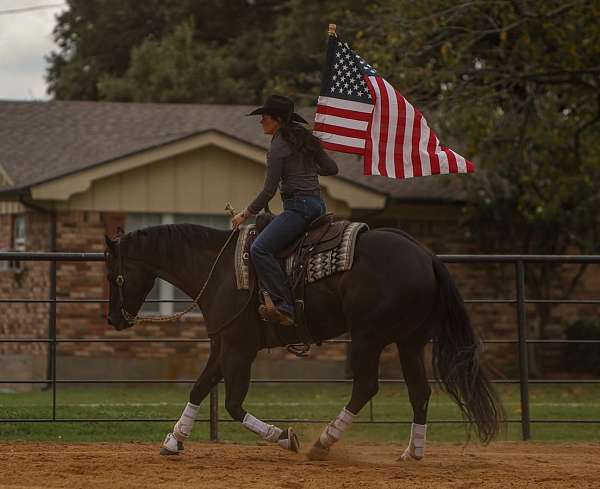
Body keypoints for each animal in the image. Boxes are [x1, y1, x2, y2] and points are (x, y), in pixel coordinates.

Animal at [105, 223, 504, 460]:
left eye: (112, 275)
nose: (113, 319)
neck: (219, 272)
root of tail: (428, 257)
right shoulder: (223, 345)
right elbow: (199, 388)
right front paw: (173, 441)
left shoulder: (239, 349)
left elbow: (233, 404)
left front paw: (284, 436)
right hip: (409, 343)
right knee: (419, 392)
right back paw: (412, 453)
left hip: (367, 337)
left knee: (366, 387)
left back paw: (322, 443)